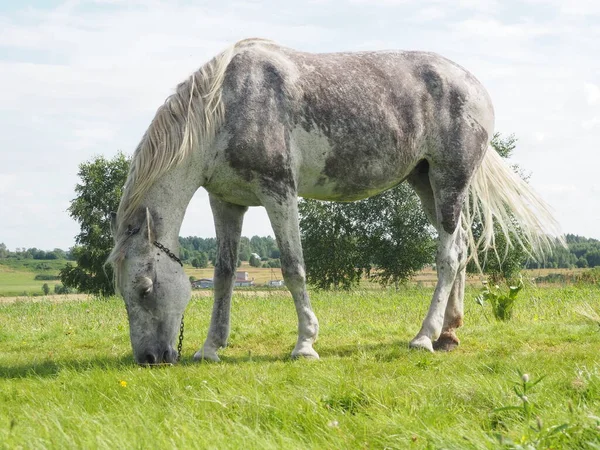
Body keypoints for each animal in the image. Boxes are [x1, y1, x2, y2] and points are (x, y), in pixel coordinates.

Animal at [108, 37, 564, 362]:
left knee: (449, 257)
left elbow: (293, 268)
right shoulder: (226, 201)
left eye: (145, 289)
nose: (149, 358)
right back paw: (448, 334)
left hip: (450, 180)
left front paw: (305, 344)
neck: (226, 107)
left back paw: (423, 337)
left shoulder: (279, 193)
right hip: (425, 183)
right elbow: (223, 274)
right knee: (464, 248)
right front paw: (210, 348)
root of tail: (472, 84)